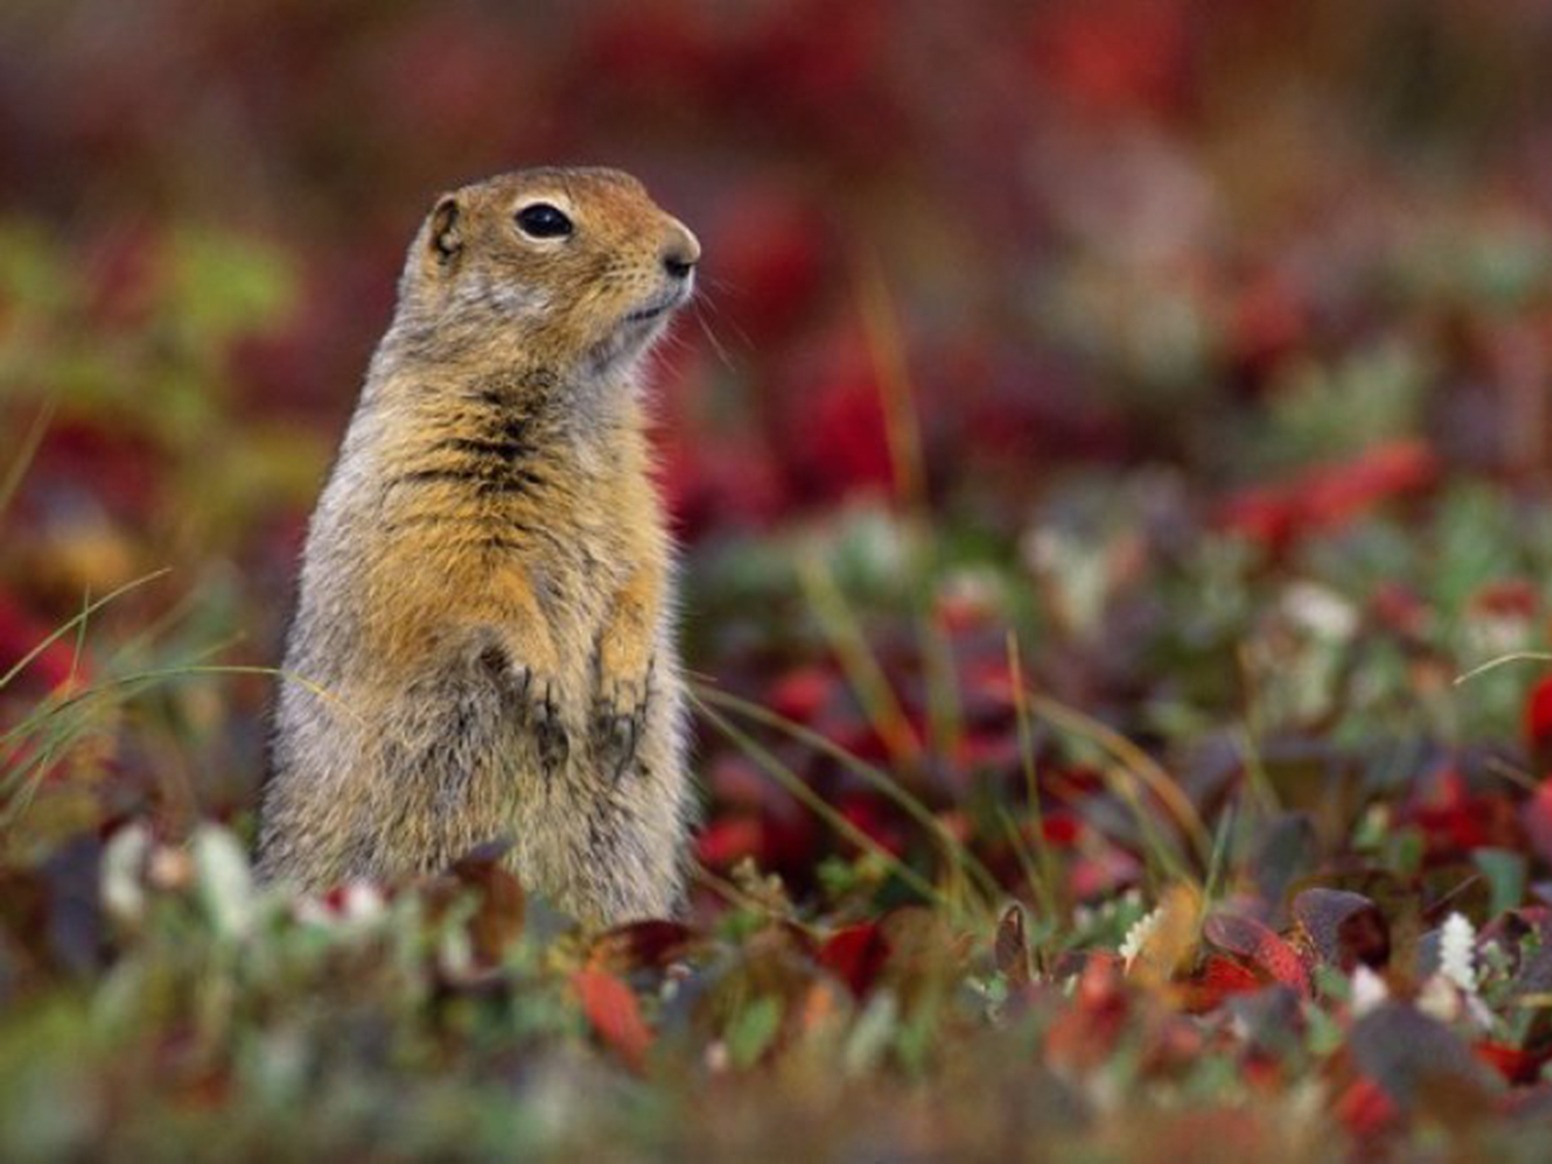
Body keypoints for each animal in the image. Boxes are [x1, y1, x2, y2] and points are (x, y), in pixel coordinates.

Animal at [259, 166, 698, 931]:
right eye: (544, 221)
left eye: (638, 188)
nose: (687, 252)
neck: (576, 396)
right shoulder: (433, 483)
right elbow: (469, 576)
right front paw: (546, 680)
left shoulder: (635, 496)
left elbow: (644, 569)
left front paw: (623, 681)